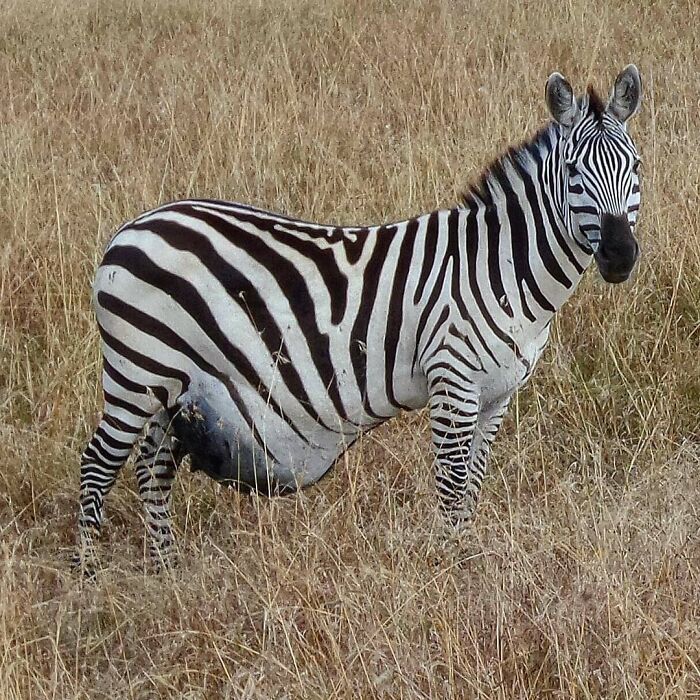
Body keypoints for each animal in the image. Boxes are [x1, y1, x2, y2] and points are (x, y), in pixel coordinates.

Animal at [75, 65, 642, 572]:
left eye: (634, 166)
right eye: (573, 174)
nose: (619, 257)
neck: (499, 267)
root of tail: (130, 229)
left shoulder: (497, 395)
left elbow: (475, 483)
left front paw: (467, 556)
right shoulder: (452, 381)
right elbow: (452, 485)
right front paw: (452, 568)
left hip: (172, 382)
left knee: (153, 465)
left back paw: (165, 569)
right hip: (137, 372)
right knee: (98, 465)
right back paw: (86, 577)